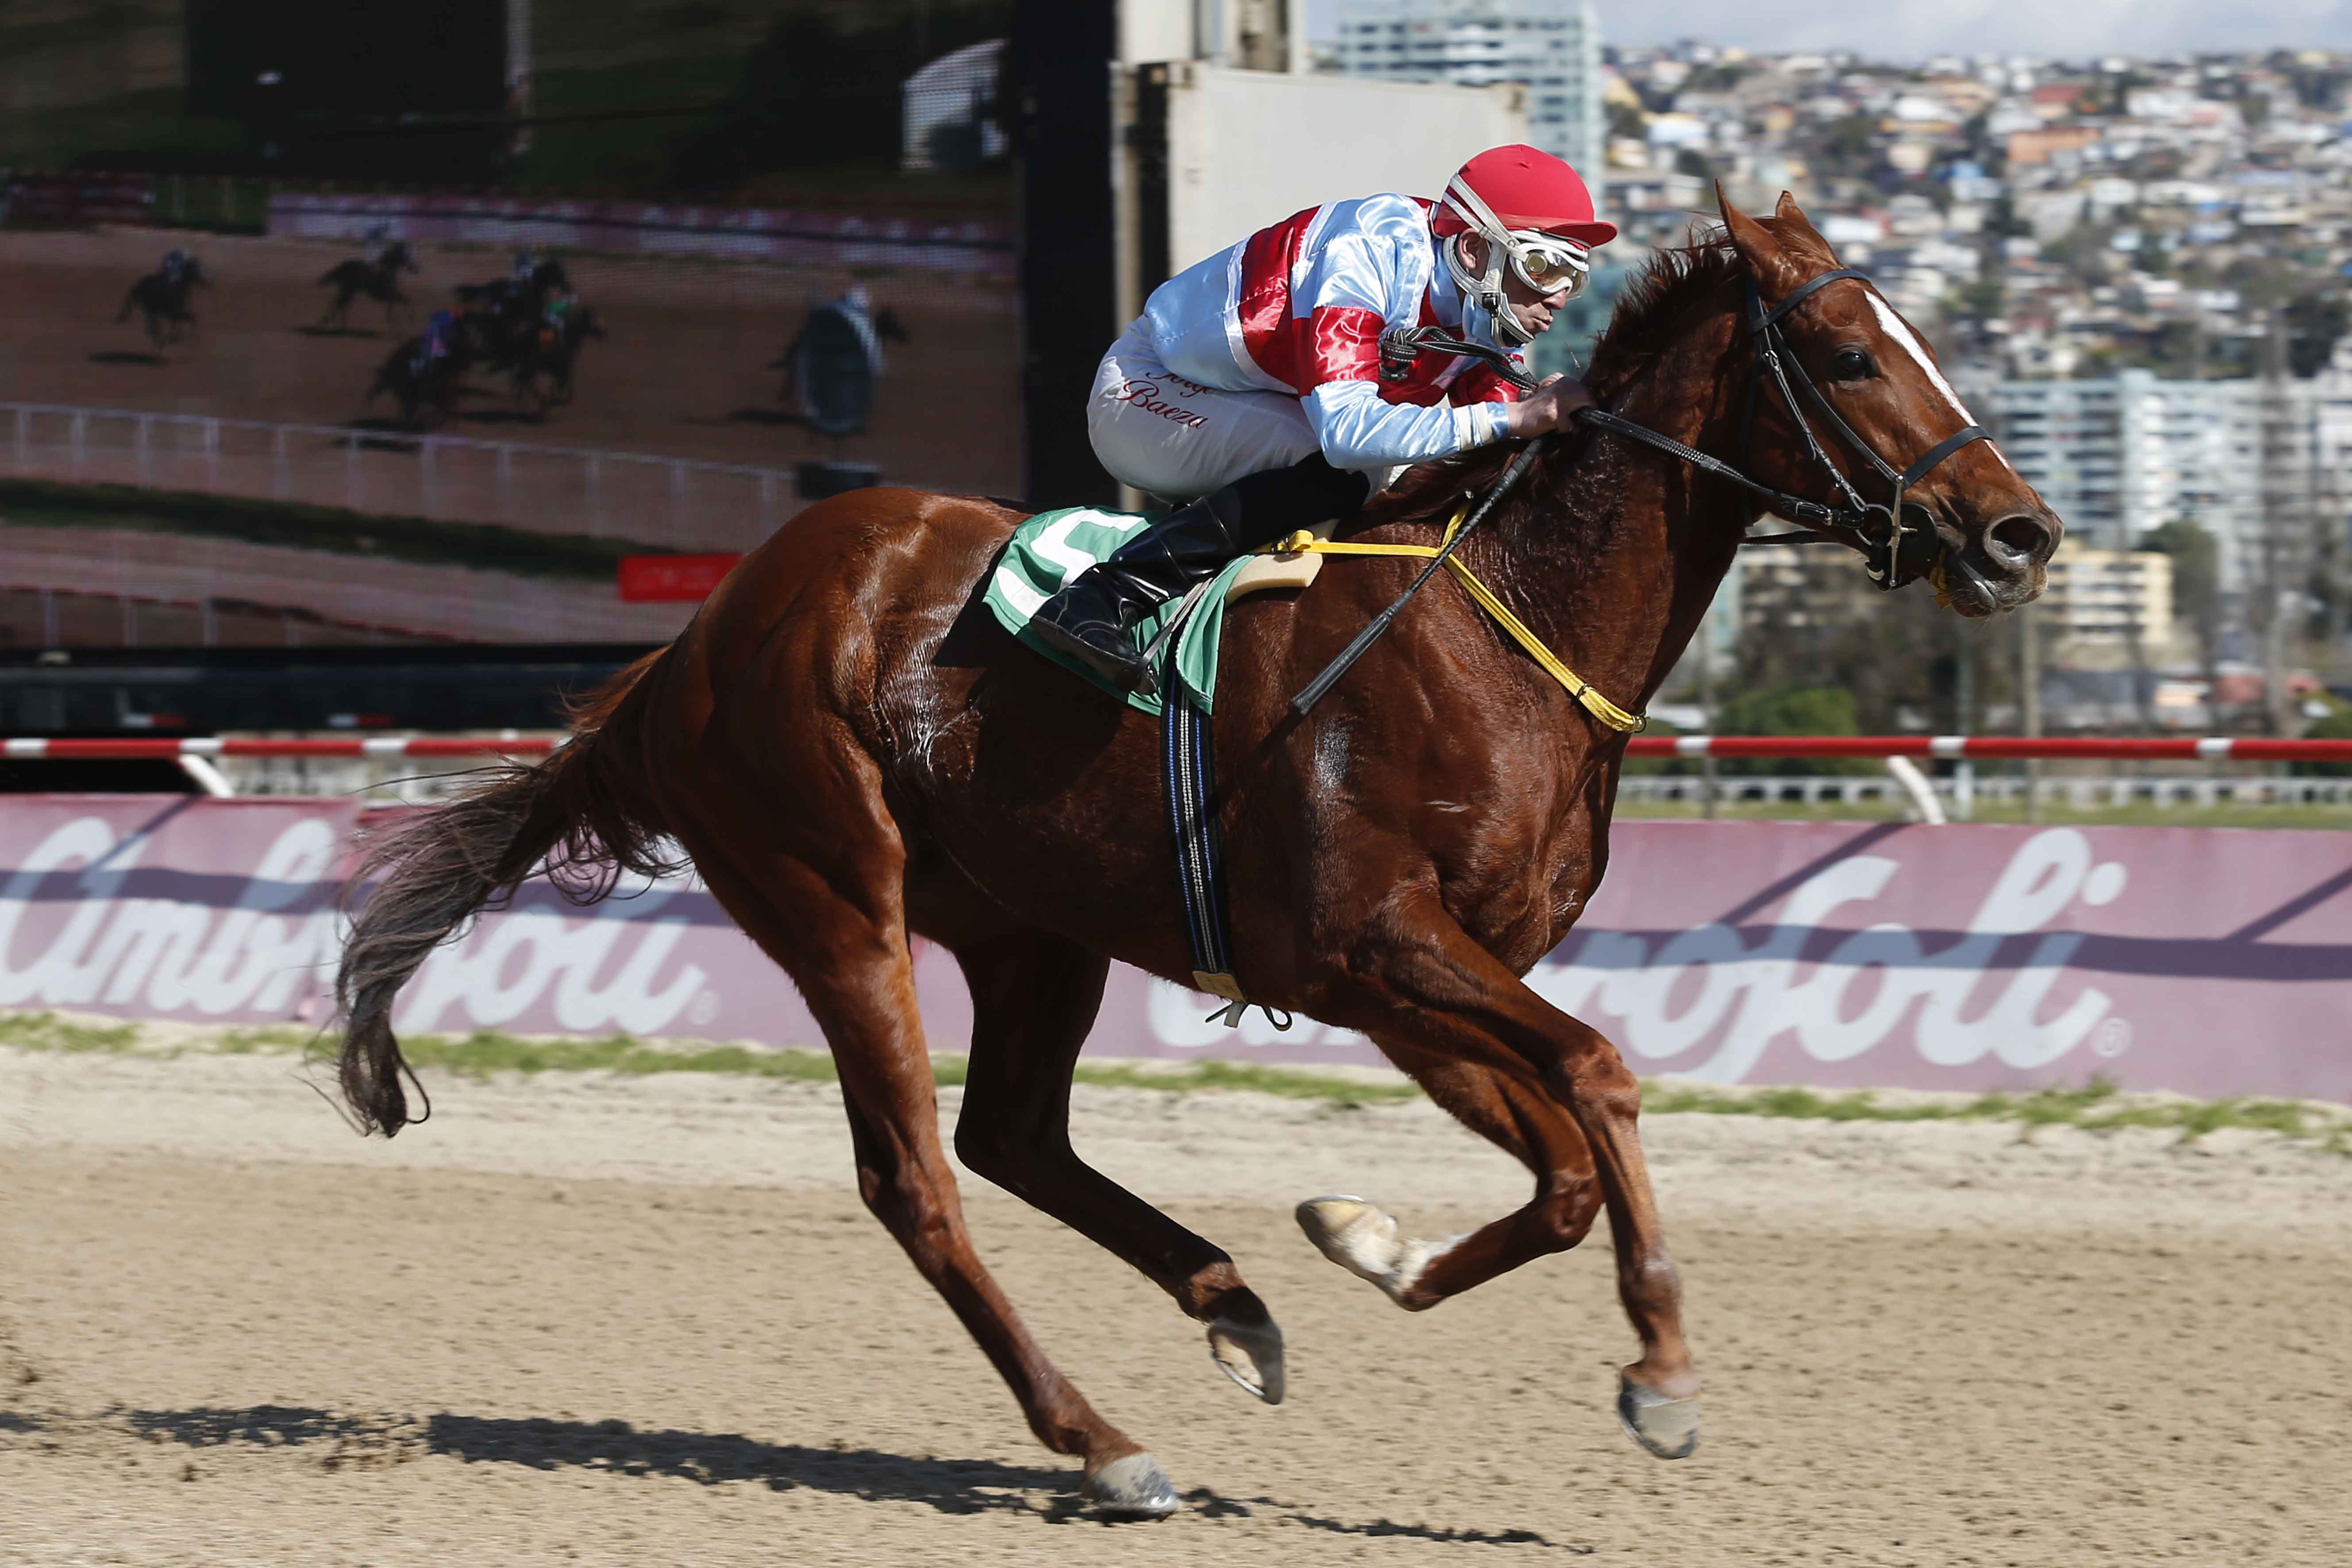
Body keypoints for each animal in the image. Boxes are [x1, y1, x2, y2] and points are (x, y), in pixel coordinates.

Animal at [116, 258, 208, 348]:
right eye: (195, 271)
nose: (205, 283)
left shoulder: (174, 314)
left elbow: (187, 321)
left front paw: (175, 338)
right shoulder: (173, 314)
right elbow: (191, 320)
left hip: (150, 309)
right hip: (148, 307)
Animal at [317, 241, 418, 333]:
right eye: (407, 255)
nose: (416, 268)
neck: (388, 270)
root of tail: (342, 267)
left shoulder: (391, 296)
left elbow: (396, 308)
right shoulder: (391, 295)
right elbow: (406, 303)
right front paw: (408, 320)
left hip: (349, 291)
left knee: (340, 304)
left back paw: (342, 327)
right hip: (348, 290)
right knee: (338, 303)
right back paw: (331, 323)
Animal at [330, 193, 2062, 1517]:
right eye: (1850, 354)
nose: (2016, 533)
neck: (1495, 625)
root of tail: (691, 641)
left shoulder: (1411, 976)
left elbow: (1562, 1159)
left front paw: (1374, 1244)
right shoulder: (1380, 941)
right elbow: (1601, 1078)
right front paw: (1659, 1372)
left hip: (1034, 926)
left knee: (1012, 1137)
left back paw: (1233, 1308)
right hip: (835, 901)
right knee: (917, 1179)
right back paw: (1100, 1442)